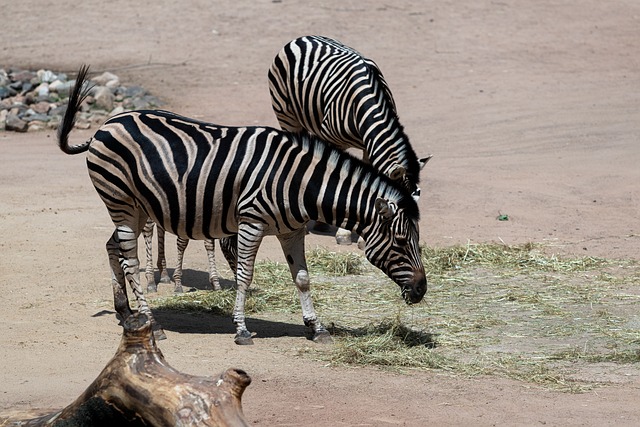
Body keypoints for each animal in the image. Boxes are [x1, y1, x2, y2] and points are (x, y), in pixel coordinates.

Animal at [58, 65, 424, 346]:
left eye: (417, 241)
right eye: (401, 241)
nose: (421, 290)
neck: (299, 183)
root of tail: (106, 125)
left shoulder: (291, 231)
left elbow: (303, 278)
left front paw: (316, 327)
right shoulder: (251, 223)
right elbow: (244, 276)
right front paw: (242, 329)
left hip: (135, 208)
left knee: (113, 247)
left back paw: (125, 312)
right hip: (120, 200)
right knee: (130, 261)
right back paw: (152, 324)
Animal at [268, 35, 432, 246]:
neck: (365, 102)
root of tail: (301, 38)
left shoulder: (369, 145)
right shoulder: (333, 139)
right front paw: (343, 232)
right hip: (286, 115)